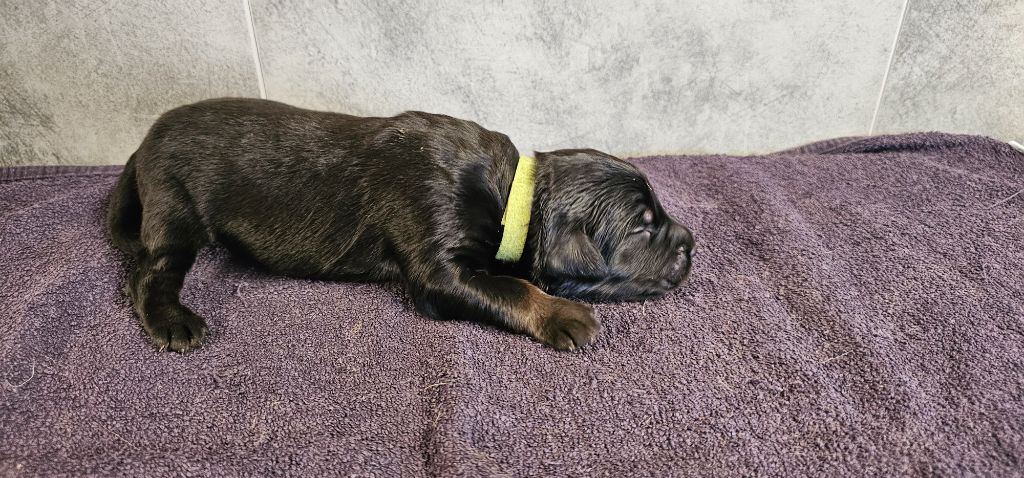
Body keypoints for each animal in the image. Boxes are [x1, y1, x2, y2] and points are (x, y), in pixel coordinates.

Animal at [108, 98, 694, 353]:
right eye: (643, 228)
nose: (690, 243)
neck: (513, 195)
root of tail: (142, 142)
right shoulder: (439, 266)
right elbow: (513, 287)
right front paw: (564, 315)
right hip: (175, 208)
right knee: (148, 272)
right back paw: (173, 322)